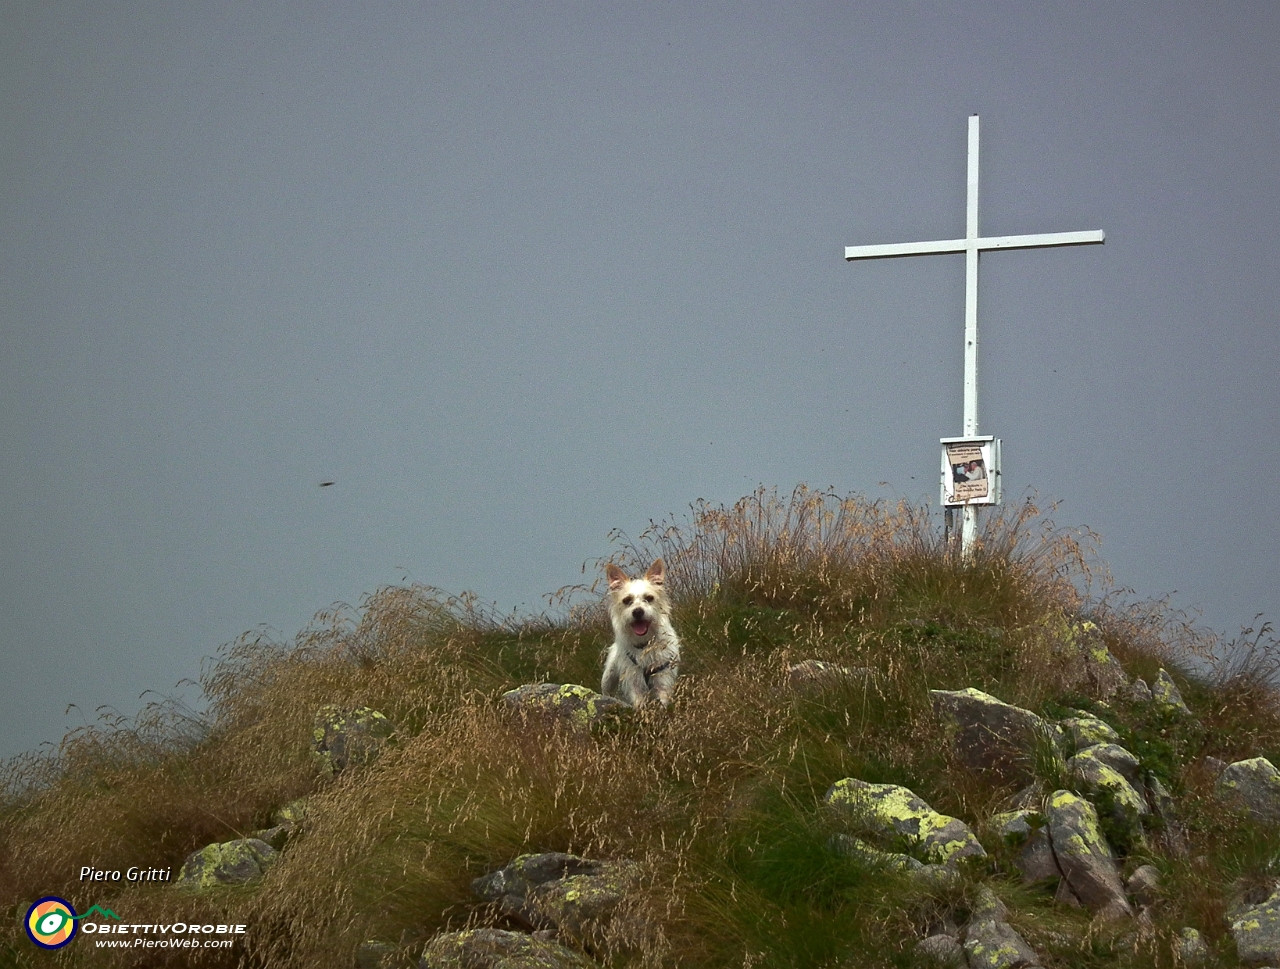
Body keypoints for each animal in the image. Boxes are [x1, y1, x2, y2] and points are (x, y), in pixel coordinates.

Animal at [599, 555, 680, 706]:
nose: (637, 612)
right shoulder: (633, 681)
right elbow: (638, 703)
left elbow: (663, 700)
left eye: (649, 598)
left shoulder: (662, 679)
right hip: (608, 676)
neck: (644, 644)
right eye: (627, 600)